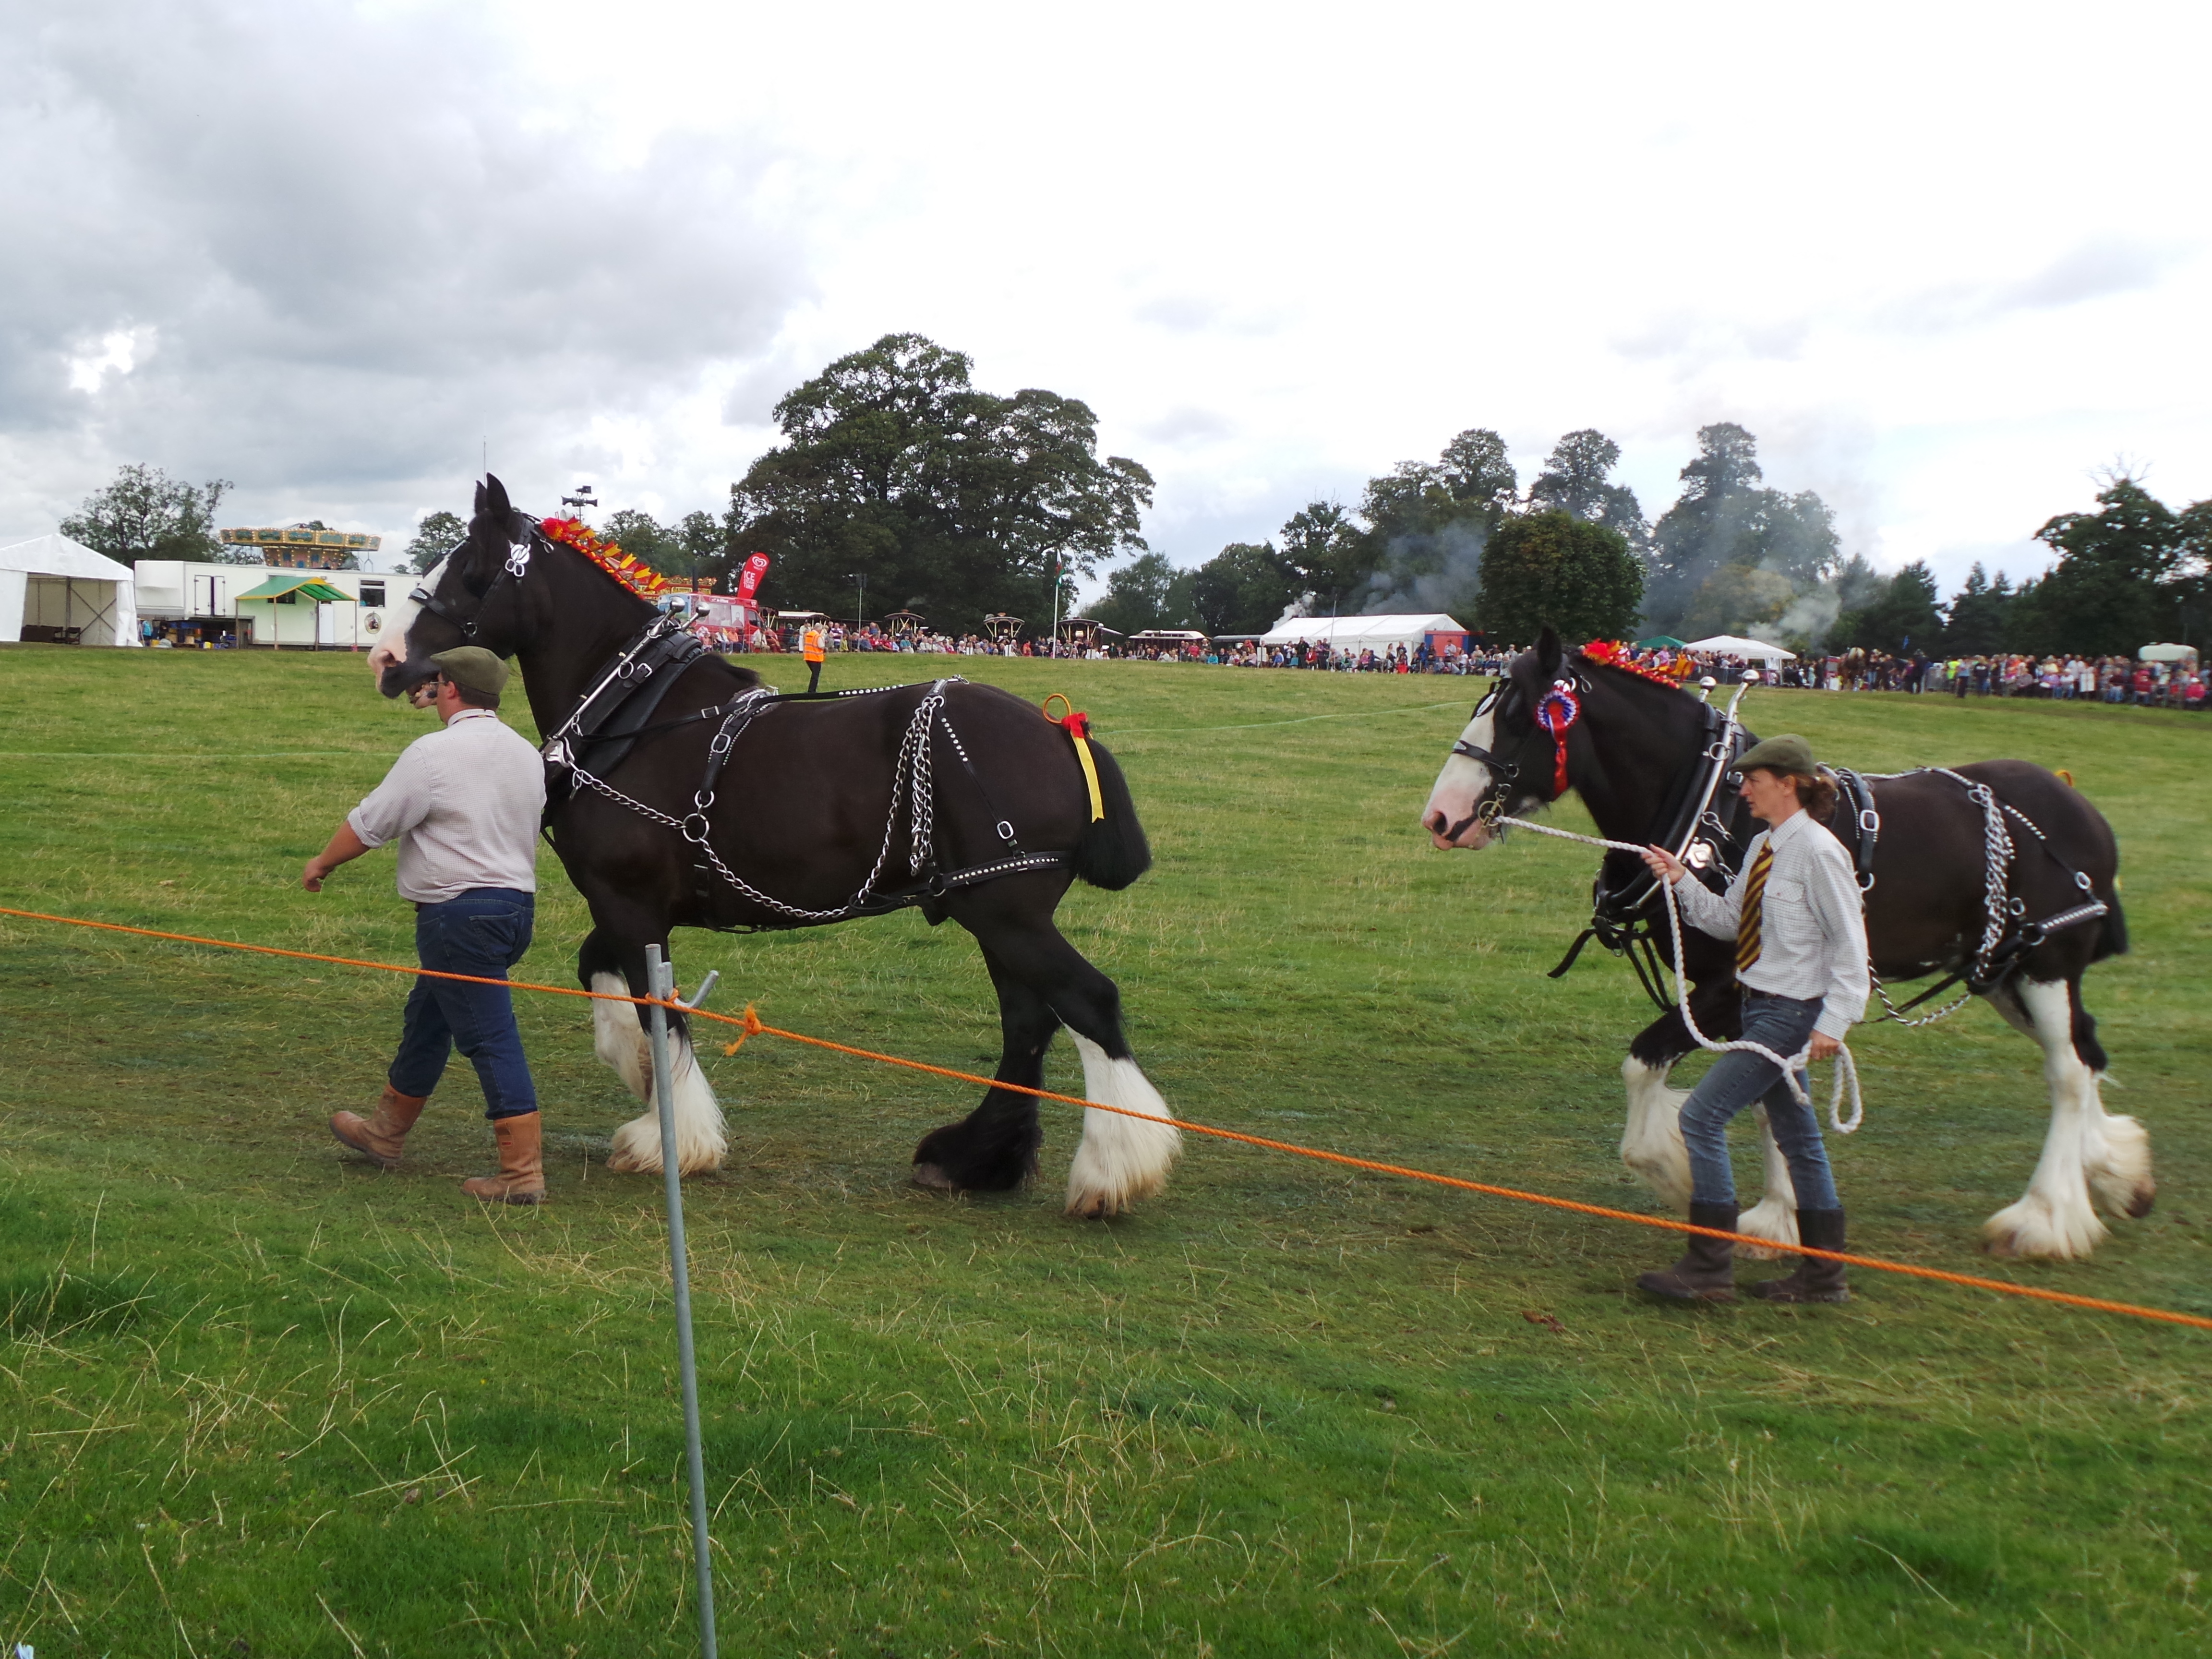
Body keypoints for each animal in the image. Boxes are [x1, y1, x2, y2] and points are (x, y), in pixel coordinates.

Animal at [365, 476, 1180, 1218]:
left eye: (472, 570)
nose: (385, 658)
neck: (635, 713)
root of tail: (1060, 730)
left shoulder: (629, 902)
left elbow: (658, 1009)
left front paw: (674, 1138)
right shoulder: (629, 905)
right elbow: (607, 983)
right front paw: (643, 1085)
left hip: (1006, 914)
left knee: (1087, 1003)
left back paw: (1113, 1171)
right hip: (991, 910)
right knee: (1030, 1023)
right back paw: (975, 1159)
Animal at [1420, 629, 2148, 1260]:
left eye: (1520, 715)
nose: (1440, 818)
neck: (1715, 815)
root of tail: (2081, 808)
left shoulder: (1728, 988)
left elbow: (1646, 1066)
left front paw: (1680, 1174)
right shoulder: (1761, 994)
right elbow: (1773, 1098)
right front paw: (1778, 1218)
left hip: (2046, 964)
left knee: (2069, 1072)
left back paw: (2047, 1216)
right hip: (2002, 971)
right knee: (2086, 1049)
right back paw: (2114, 1171)